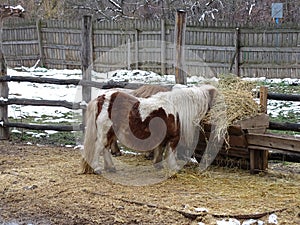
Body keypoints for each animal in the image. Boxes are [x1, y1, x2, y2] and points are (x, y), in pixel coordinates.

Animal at [79, 84, 217, 174]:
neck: (176, 108)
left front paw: (158, 165)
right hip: (105, 132)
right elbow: (171, 153)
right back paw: (97, 169)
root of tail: (102, 98)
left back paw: (111, 168)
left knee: (106, 148)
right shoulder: (173, 138)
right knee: (99, 147)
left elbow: (159, 151)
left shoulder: (162, 139)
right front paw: (174, 168)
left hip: (110, 133)